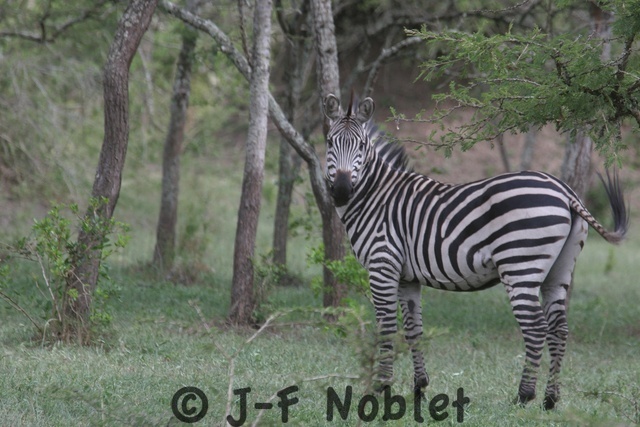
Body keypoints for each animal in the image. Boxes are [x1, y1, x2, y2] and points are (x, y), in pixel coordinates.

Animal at [322, 93, 628, 410]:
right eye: (330, 142)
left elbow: (385, 327)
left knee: (535, 329)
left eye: (361, 146)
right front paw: (419, 387)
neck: (376, 197)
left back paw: (524, 395)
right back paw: (550, 399)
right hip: (559, 271)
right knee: (559, 329)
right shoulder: (407, 277)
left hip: (520, 265)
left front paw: (381, 387)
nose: (341, 191)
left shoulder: (382, 265)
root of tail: (564, 191)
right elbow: (414, 330)